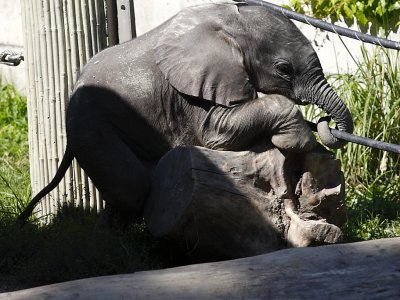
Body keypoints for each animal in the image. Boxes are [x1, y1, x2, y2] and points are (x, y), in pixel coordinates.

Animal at [18, 2, 354, 226]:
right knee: (131, 186)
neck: (227, 22)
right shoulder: (189, 87)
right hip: (90, 124)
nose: (326, 123)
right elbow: (215, 134)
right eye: (284, 69)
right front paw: (298, 141)